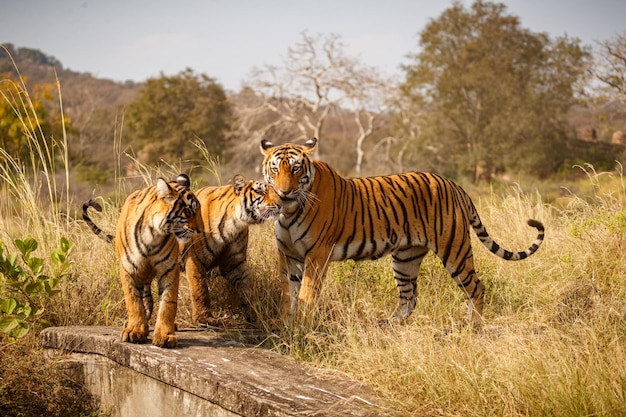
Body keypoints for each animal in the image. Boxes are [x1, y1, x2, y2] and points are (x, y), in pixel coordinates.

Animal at [80, 173, 197, 348]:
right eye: (188, 211)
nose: (199, 230)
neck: (153, 235)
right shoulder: (128, 268)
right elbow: (134, 301)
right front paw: (135, 331)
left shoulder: (169, 268)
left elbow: (168, 302)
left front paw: (165, 335)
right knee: (144, 300)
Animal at [179, 174, 280, 324]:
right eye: (260, 191)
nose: (280, 204)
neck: (234, 224)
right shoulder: (195, 259)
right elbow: (200, 289)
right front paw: (204, 318)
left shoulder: (234, 263)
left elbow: (247, 288)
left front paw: (255, 314)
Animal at [258, 138, 540, 326]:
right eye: (275, 169)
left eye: (296, 168)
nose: (284, 192)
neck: (289, 211)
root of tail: (455, 185)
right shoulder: (288, 253)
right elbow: (288, 292)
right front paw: (284, 324)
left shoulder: (317, 254)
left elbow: (306, 293)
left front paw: (300, 327)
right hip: (406, 257)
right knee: (409, 298)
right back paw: (388, 326)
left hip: (454, 248)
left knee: (476, 287)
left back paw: (472, 327)